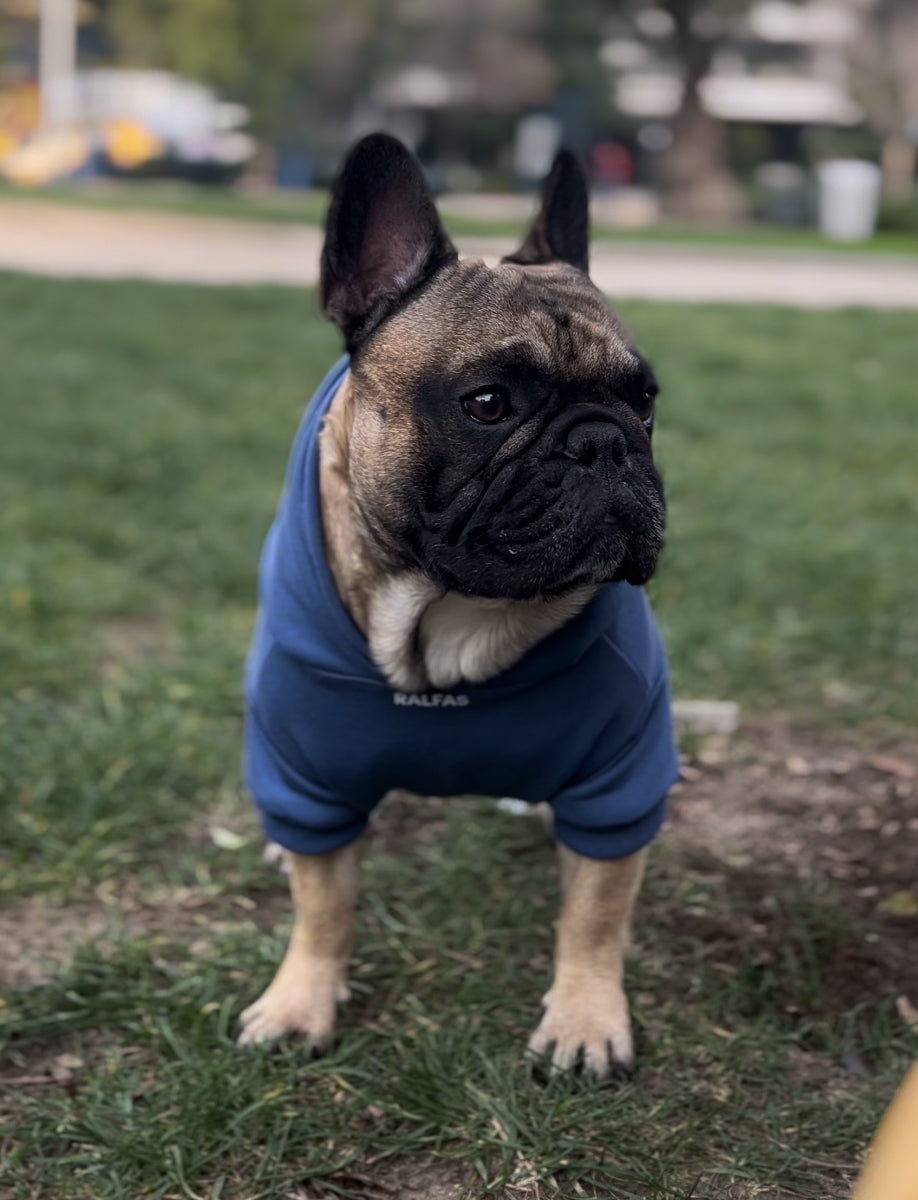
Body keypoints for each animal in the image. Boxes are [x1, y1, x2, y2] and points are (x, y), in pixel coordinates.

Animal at [240, 131, 676, 1080]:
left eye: (645, 399)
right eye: (488, 404)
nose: (604, 442)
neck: (445, 621)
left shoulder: (621, 784)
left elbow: (597, 913)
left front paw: (586, 1018)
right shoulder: (306, 773)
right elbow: (324, 903)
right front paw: (299, 1002)